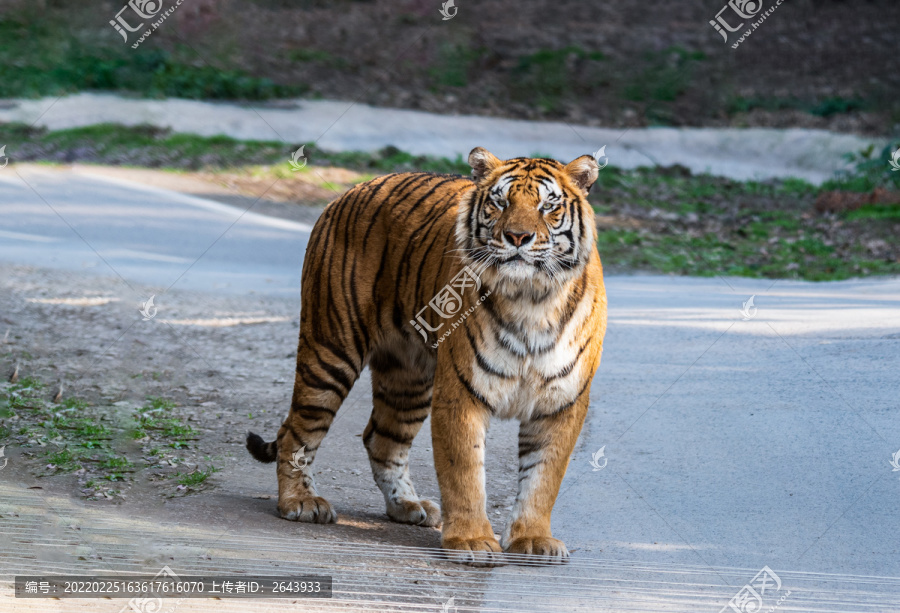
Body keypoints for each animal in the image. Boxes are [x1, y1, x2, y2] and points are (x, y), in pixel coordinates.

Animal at [248, 147, 604, 564]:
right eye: (500, 202)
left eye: (548, 205)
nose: (517, 236)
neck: (531, 298)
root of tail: (349, 191)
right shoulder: (462, 393)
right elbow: (464, 472)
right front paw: (471, 541)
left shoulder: (562, 402)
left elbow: (543, 478)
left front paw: (533, 538)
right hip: (330, 352)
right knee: (295, 431)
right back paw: (301, 502)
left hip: (410, 376)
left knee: (381, 438)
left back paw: (407, 505)